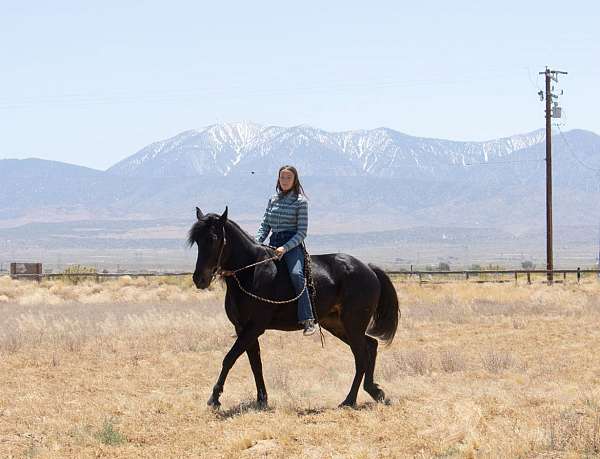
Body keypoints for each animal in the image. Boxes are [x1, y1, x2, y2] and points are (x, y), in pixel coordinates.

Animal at [190, 207, 400, 408]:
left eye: (213, 238)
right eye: (197, 241)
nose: (199, 279)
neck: (251, 272)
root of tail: (369, 269)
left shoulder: (254, 327)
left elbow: (230, 358)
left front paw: (214, 398)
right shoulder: (242, 328)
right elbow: (255, 363)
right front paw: (262, 399)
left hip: (352, 324)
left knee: (361, 357)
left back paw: (349, 400)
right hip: (338, 325)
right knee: (371, 345)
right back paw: (375, 391)